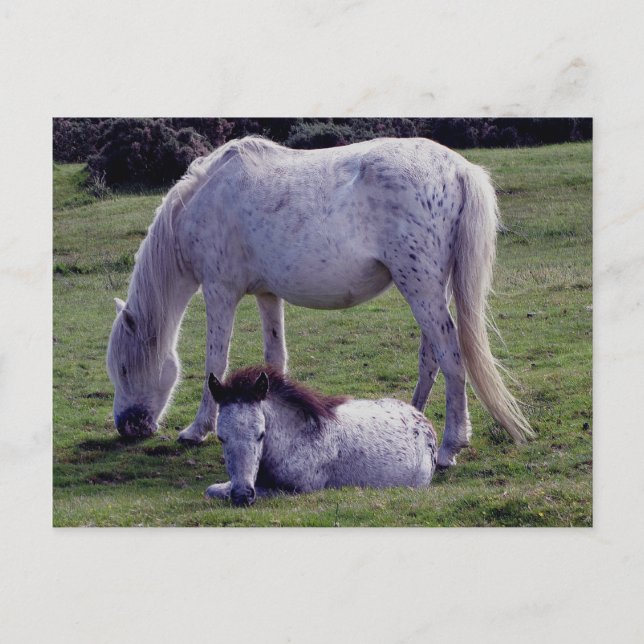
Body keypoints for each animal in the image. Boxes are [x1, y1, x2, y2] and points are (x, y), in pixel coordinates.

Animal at [106, 135, 533, 467]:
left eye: (124, 368)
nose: (127, 428)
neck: (204, 199)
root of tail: (458, 169)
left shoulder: (219, 291)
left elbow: (216, 362)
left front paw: (197, 430)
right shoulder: (267, 294)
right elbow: (274, 358)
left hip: (421, 288)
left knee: (451, 359)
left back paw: (448, 447)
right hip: (429, 290)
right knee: (430, 359)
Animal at [204, 366, 438, 506]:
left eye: (261, 434)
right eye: (221, 438)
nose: (242, 496)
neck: (297, 438)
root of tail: (424, 422)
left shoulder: (300, 489)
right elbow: (212, 489)